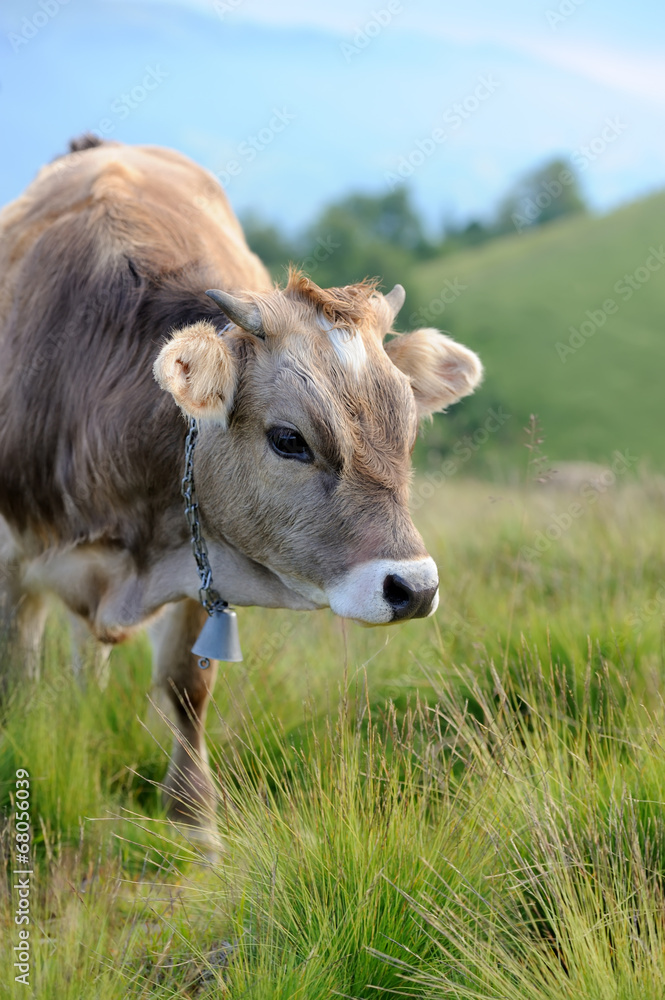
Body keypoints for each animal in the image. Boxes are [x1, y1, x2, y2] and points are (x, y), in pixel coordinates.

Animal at [0, 137, 480, 848]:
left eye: (408, 430)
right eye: (288, 439)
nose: (414, 588)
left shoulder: (200, 560)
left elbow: (185, 689)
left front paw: (195, 824)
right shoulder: (10, 564)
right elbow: (17, 687)